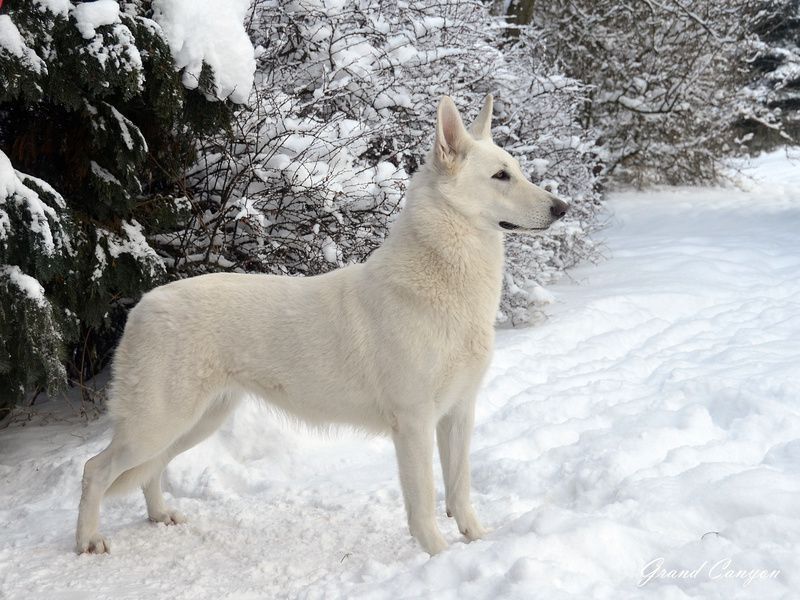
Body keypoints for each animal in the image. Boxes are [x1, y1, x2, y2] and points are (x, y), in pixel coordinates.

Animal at [73, 95, 564, 556]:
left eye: (517, 171)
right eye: (500, 176)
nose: (563, 207)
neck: (445, 279)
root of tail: (142, 305)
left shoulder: (459, 412)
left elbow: (460, 491)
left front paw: (477, 541)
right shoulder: (414, 423)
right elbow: (424, 503)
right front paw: (438, 556)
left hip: (196, 422)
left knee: (150, 469)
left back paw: (159, 515)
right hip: (158, 423)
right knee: (95, 470)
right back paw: (87, 541)